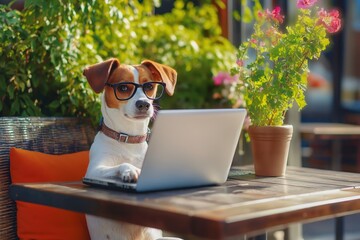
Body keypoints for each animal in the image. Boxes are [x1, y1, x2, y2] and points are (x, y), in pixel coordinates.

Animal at [82, 58, 177, 240]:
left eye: (149, 86)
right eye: (123, 88)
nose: (144, 104)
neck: (129, 140)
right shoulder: (93, 171)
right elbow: (122, 165)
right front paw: (131, 171)